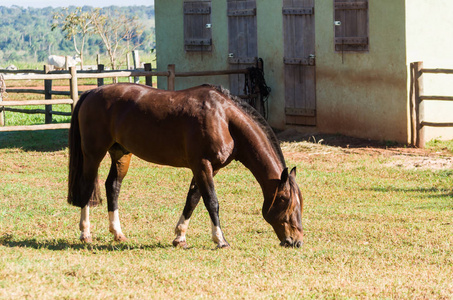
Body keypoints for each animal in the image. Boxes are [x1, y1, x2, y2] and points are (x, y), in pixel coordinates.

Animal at [68, 82, 304, 248]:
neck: (223, 118)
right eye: (285, 201)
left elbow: (193, 199)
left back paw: (117, 233)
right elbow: (211, 201)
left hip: (121, 154)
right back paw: (85, 234)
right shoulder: (202, 165)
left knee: (113, 187)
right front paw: (220, 240)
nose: (296, 241)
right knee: (87, 187)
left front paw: (180, 236)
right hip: (93, 154)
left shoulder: (209, 168)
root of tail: (92, 92)